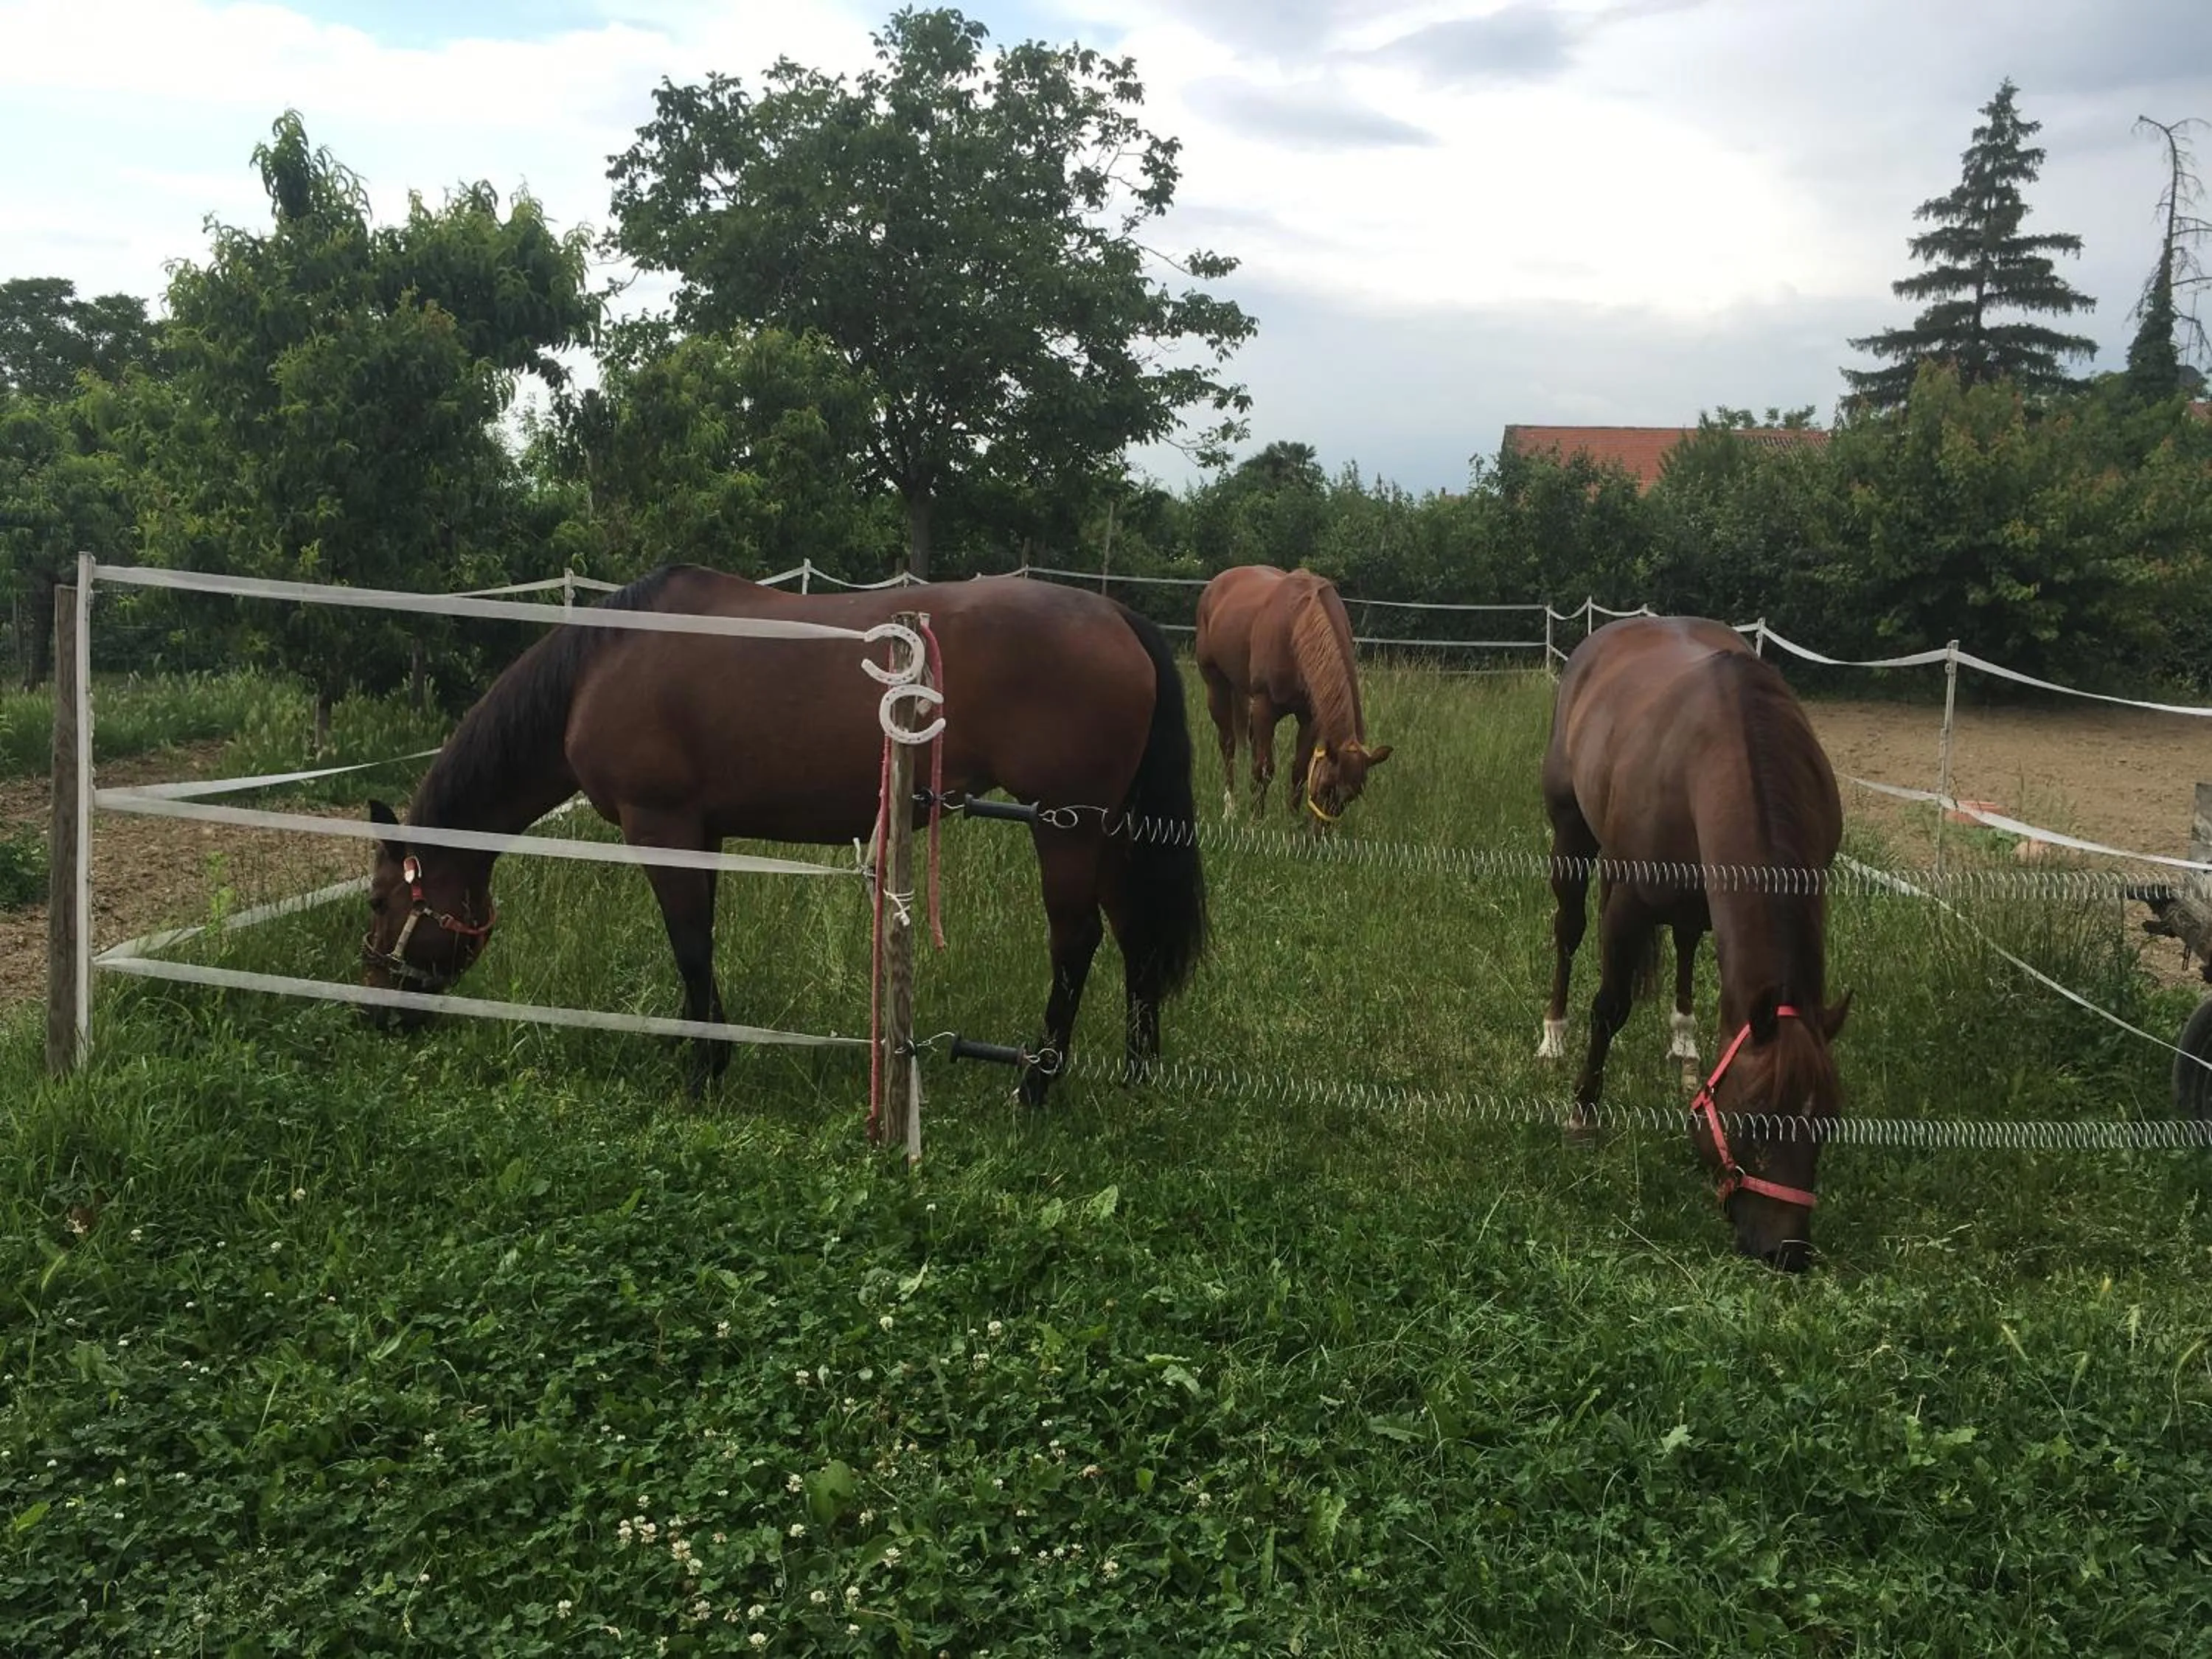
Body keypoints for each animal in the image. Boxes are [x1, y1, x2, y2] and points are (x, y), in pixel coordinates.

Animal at [359, 564, 1208, 1104]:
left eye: (377, 902)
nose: (370, 1014)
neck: (599, 667)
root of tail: (1116, 617)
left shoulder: (660, 823)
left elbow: (689, 943)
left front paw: (703, 1072)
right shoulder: (700, 832)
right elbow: (699, 944)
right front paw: (700, 1046)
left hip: (1063, 829)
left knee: (1076, 942)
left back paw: (1036, 1084)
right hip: (1110, 832)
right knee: (1134, 937)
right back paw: (1137, 1074)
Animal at [1193, 565, 1392, 828]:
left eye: (1353, 796)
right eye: (1326, 786)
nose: (1320, 834)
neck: (1296, 630)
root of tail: (1216, 584)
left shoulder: (1309, 718)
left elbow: (1298, 770)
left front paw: (1291, 821)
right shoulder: (1265, 707)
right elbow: (1264, 768)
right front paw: (1256, 823)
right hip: (1217, 686)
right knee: (1228, 746)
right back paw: (1230, 809)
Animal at [1538, 616, 1851, 1272]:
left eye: (1828, 1125)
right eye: (1755, 1123)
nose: (1787, 1251)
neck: (1726, 753)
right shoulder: (1629, 904)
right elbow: (1611, 1006)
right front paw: (1582, 1116)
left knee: (1684, 945)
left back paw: (1683, 1043)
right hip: (1572, 839)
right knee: (1568, 930)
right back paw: (1552, 1032)